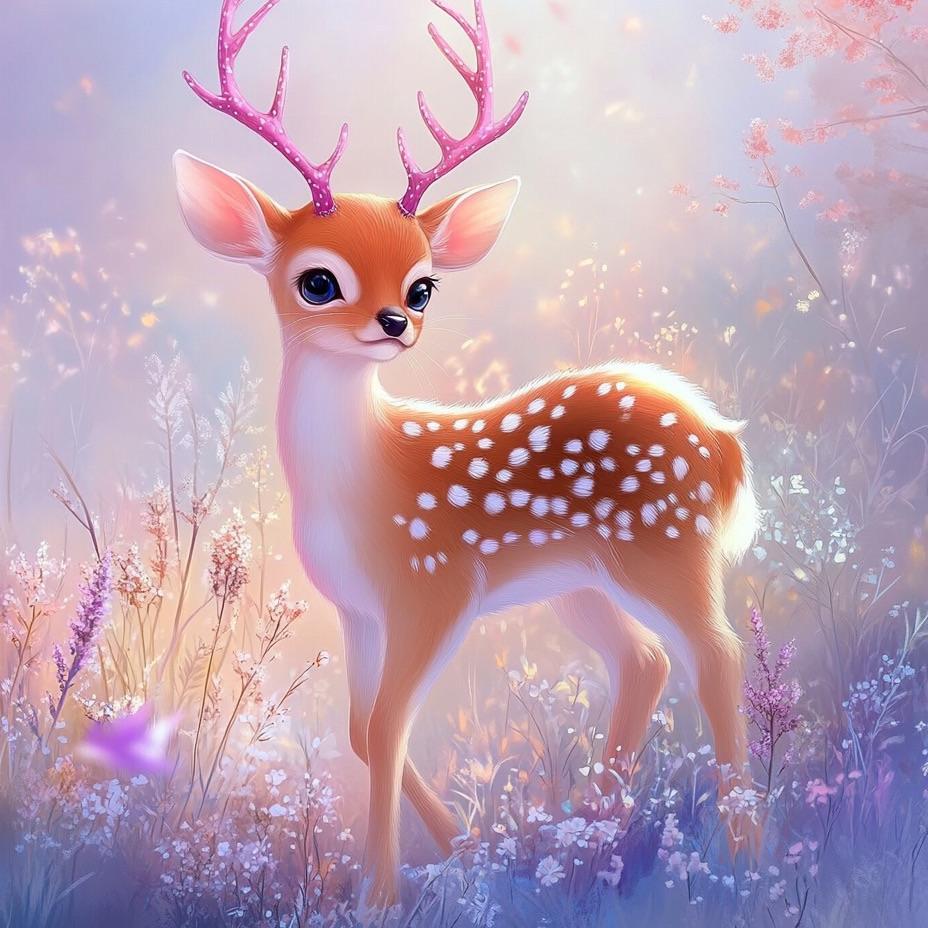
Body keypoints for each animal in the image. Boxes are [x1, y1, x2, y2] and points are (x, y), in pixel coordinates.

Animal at [174, 0, 759, 906]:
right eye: (317, 281)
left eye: (422, 286)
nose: (395, 324)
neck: (359, 484)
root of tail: (722, 440)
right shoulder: (358, 608)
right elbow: (360, 729)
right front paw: (462, 847)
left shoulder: (433, 587)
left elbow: (387, 725)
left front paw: (378, 895)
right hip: (579, 581)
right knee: (646, 660)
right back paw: (584, 843)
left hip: (667, 549)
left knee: (718, 656)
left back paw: (746, 855)